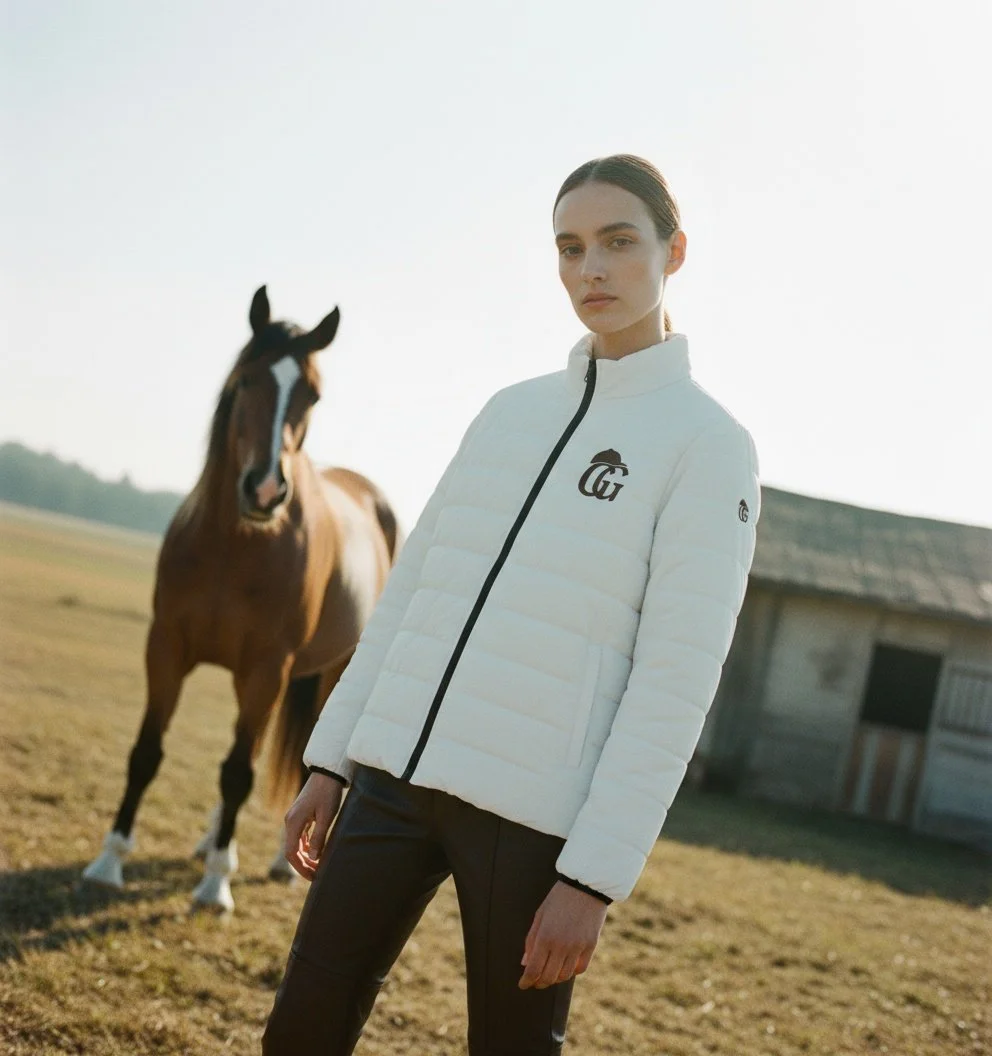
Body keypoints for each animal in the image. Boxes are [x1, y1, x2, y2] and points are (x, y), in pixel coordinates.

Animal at [82, 286, 399, 911]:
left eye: (313, 394)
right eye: (247, 379)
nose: (266, 489)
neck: (234, 545)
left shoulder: (266, 670)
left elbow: (239, 772)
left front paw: (216, 885)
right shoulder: (166, 648)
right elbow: (146, 753)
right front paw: (109, 861)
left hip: (328, 673)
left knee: (302, 763)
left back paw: (276, 861)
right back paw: (211, 840)